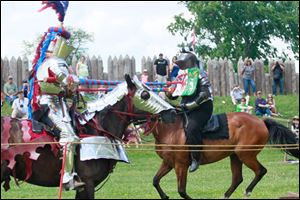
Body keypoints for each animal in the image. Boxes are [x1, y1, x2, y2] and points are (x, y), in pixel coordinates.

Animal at [123, 74, 298, 198]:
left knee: (260, 171)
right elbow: (155, 181)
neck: (170, 128)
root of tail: (261, 122)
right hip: (235, 156)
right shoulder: (168, 163)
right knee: (237, 179)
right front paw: (165, 196)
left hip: (245, 154)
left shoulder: (181, 165)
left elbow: (181, 191)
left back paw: (247, 191)